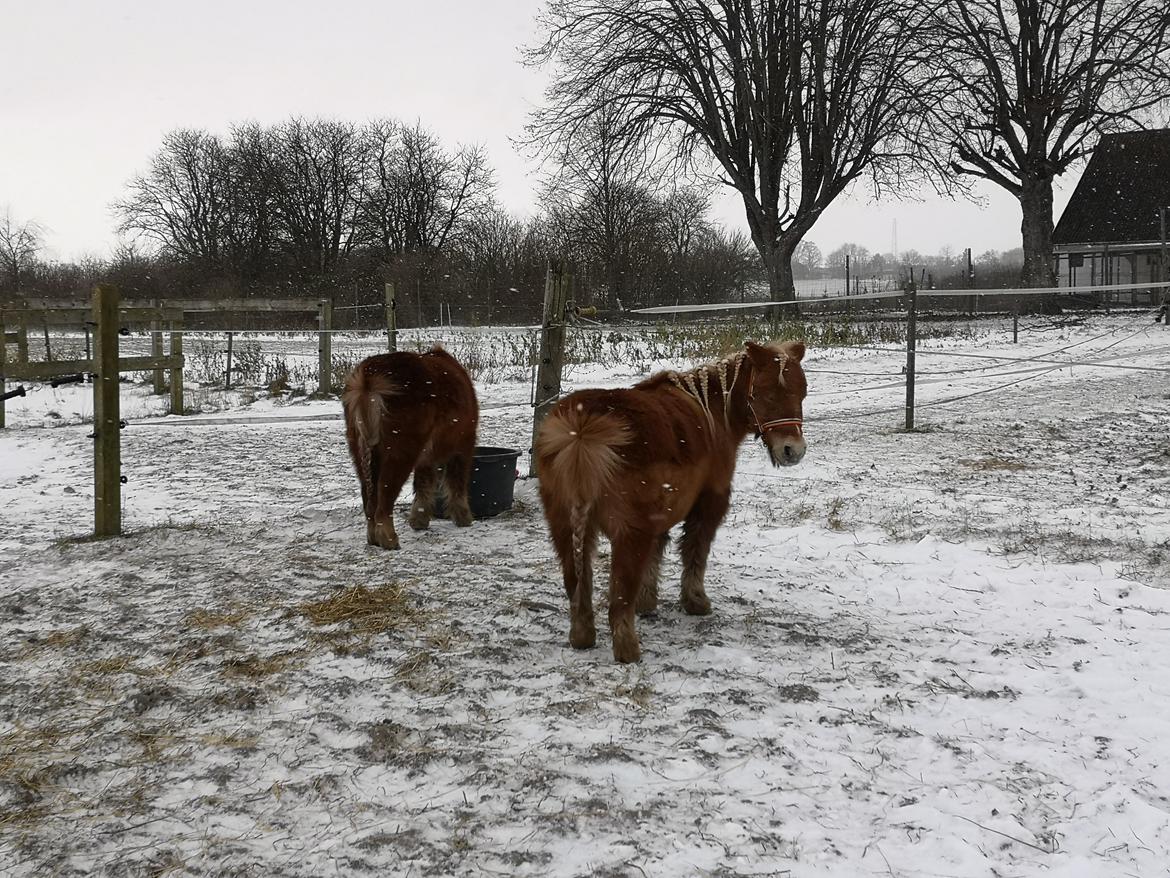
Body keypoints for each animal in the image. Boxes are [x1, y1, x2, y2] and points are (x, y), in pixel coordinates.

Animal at [341, 348, 479, 550]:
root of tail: (369, 378)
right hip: (400, 452)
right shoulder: (463, 445)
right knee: (384, 497)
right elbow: (457, 482)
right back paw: (389, 540)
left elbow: (423, 483)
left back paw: (373, 538)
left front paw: (419, 520)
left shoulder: (426, 456)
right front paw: (463, 517)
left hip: (359, 453)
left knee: (369, 498)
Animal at [535, 339, 804, 664]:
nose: (793, 451)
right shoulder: (710, 502)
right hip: (629, 531)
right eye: (764, 394)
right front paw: (695, 601)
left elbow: (657, 551)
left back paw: (582, 637)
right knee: (620, 594)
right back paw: (628, 649)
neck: (712, 412)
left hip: (563, 525)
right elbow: (695, 550)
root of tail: (582, 428)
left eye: (802, 392)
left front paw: (647, 601)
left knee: (577, 581)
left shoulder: (661, 512)